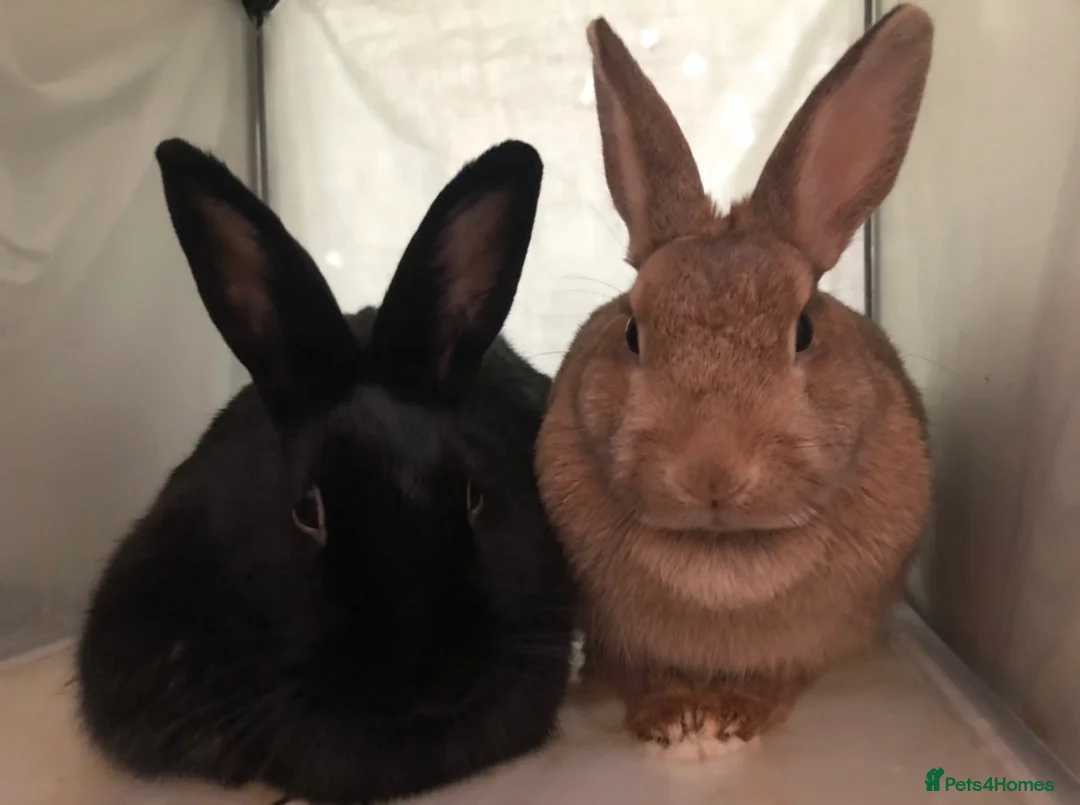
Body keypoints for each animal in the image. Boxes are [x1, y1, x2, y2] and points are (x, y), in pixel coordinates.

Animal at [535, 5, 934, 759]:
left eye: (803, 329)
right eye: (631, 331)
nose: (710, 473)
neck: (721, 555)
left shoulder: (808, 646)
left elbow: (775, 681)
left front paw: (730, 719)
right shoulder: (615, 639)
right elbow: (643, 677)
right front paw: (670, 721)